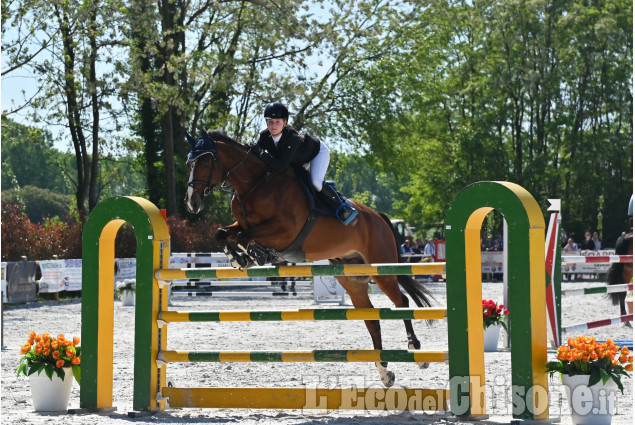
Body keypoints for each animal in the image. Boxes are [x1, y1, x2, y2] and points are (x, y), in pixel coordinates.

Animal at [184, 130, 432, 388]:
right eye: (189, 163)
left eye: (204, 161)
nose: (192, 203)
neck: (253, 185)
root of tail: (379, 217)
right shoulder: (243, 225)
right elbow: (223, 233)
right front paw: (241, 258)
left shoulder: (285, 230)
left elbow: (244, 235)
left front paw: (256, 254)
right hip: (352, 277)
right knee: (371, 318)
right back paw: (385, 372)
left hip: (381, 269)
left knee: (401, 302)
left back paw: (417, 351)